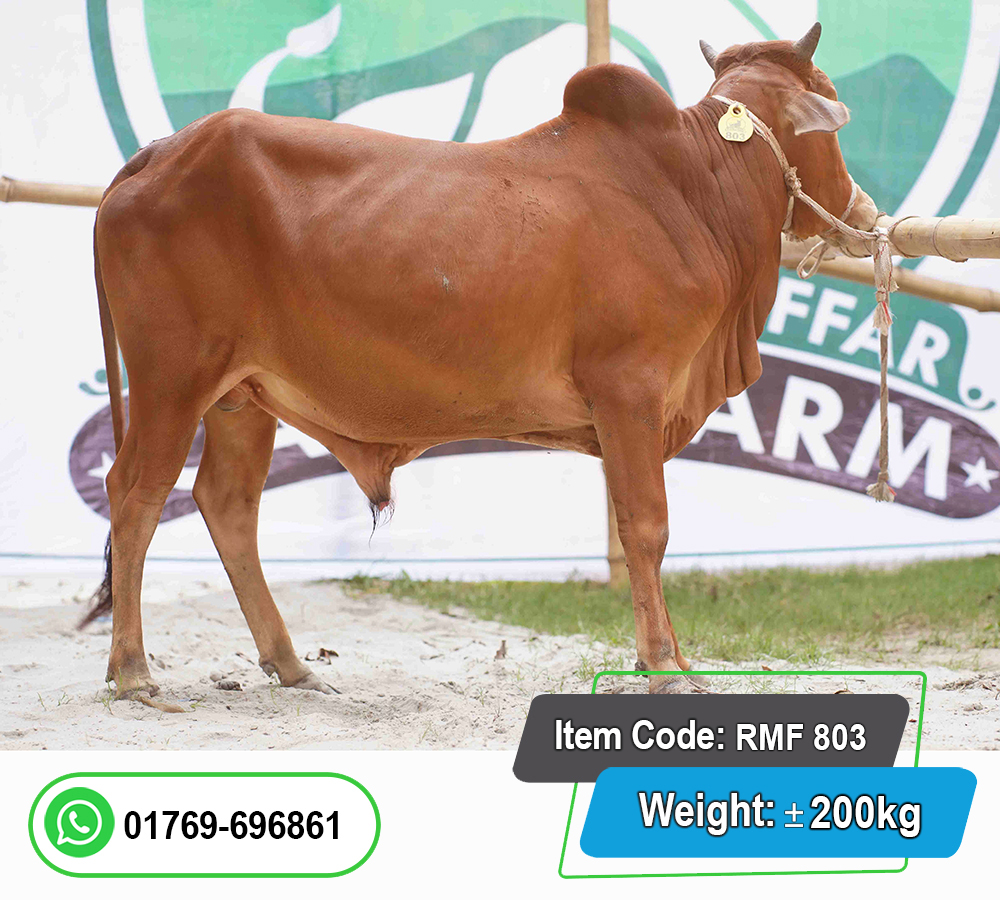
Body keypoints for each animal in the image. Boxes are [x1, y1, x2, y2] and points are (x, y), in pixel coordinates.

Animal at [83, 22, 877, 699]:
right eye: (830, 98)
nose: (863, 213)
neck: (694, 187)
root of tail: (160, 152)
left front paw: (679, 659)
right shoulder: (631, 392)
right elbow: (646, 527)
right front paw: (661, 665)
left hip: (241, 397)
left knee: (226, 505)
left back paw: (291, 664)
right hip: (171, 379)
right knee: (135, 494)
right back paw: (133, 670)